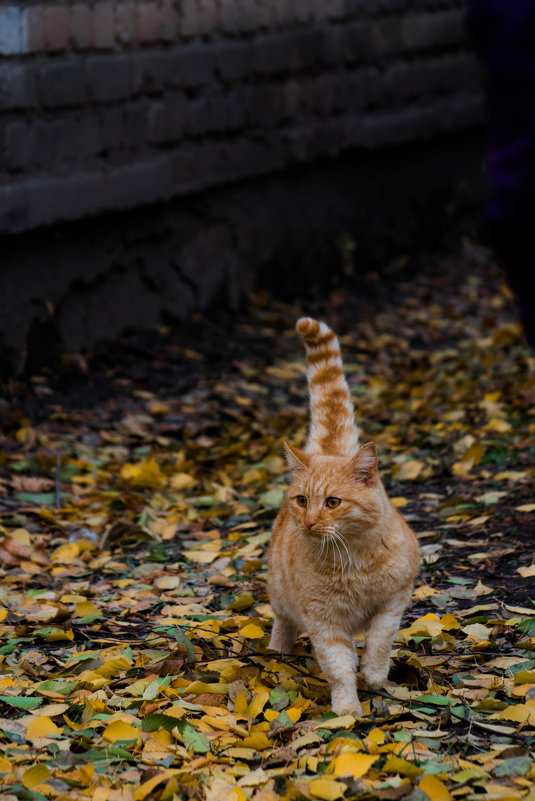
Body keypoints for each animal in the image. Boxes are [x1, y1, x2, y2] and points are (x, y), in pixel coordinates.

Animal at [266, 316, 418, 716]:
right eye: (302, 500)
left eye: (332, 502)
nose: (308, 522)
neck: (353, 558)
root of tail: (329, 448)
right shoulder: (325, 622)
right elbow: (339, 666)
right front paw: (347, 710)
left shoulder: (394, 601)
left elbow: (379, 641)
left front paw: (376, 677)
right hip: (280, 595)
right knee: (282, 623)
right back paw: (275, 653)